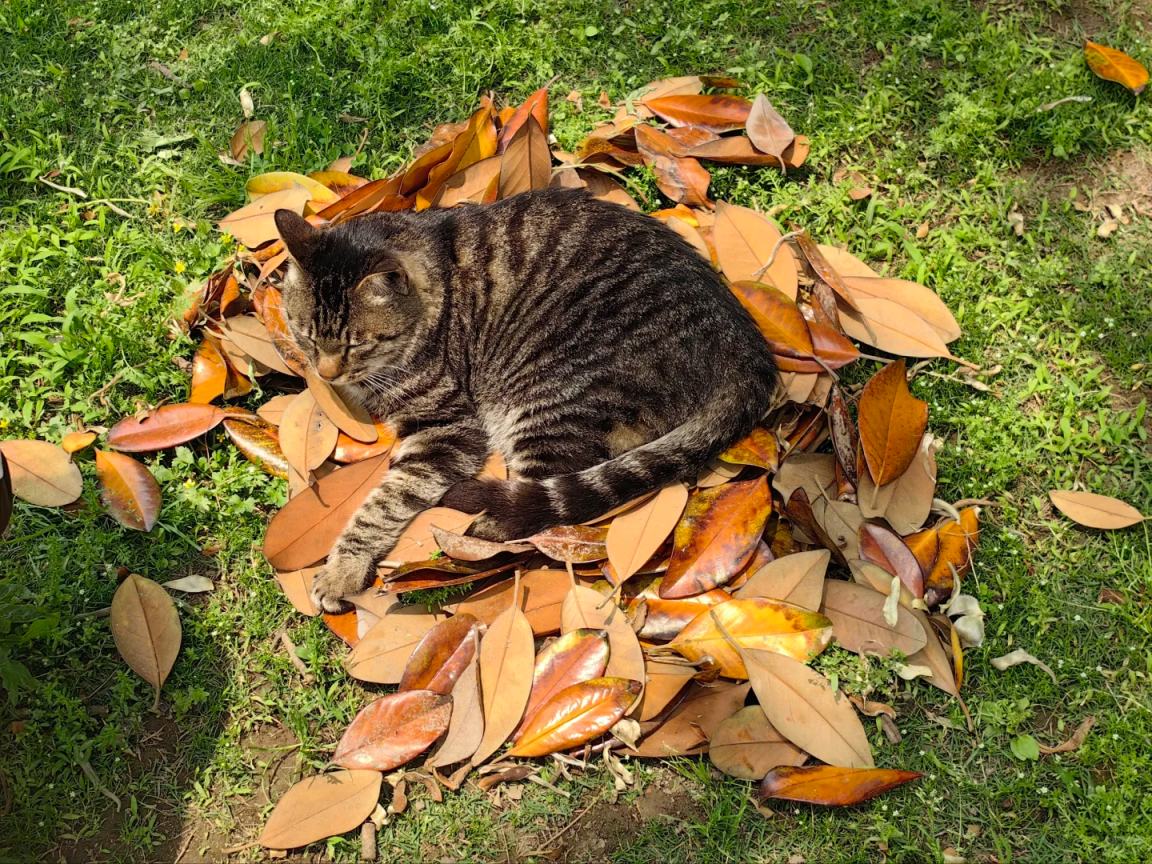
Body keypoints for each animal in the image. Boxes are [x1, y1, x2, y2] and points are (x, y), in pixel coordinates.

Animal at [276, 187, 783, 617]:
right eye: (305, 335)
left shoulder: (445, 429)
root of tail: (745, 349)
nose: (326, 374)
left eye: (356, 344)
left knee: (530, 517)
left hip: (543, 397)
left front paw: (342, 571)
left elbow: (383, 503)